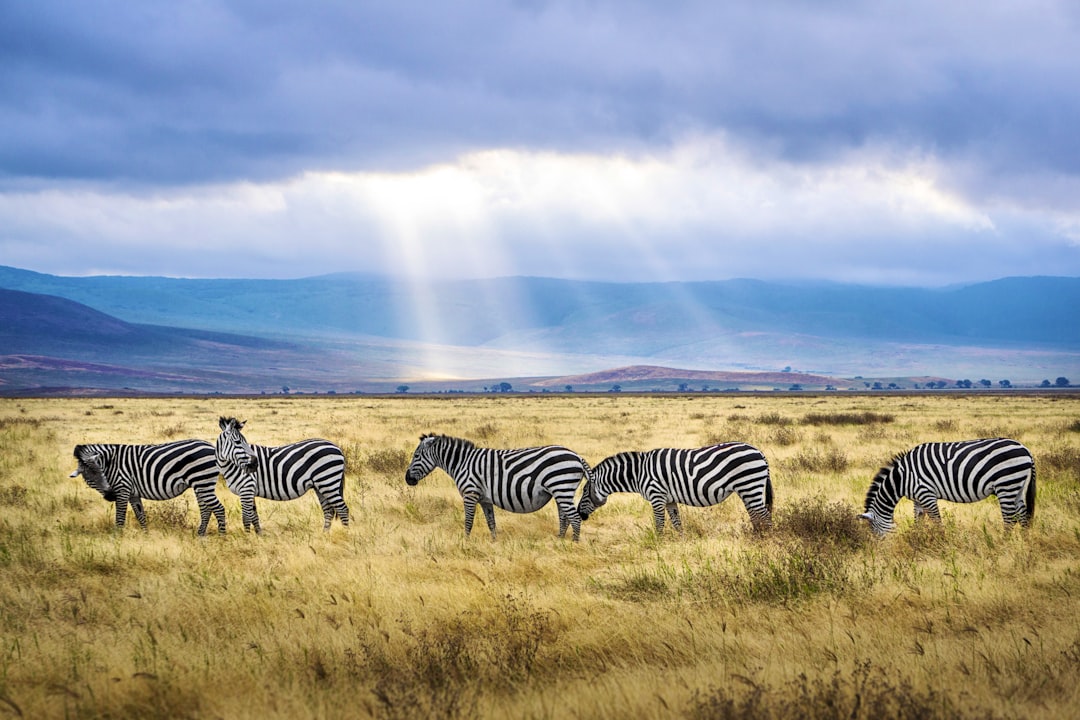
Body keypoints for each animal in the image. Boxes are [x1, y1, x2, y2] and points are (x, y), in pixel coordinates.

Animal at [69, 440, 225, 535]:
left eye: (102, 473)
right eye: (89, 478)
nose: (110, 496)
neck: (111, 463)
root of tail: (211, 446)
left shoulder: (122, 488)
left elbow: (120, 518)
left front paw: (117, 539)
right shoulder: (133, 493)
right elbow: (140, 515)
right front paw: (146, 535)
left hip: (203, 482)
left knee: (219, 508)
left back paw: (222, 537)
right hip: (200, 484)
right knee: (206, 510)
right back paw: (200, 535)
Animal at [217, 416, 352, 535]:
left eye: (244, 442)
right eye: (238, 442)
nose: (255, 464)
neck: (232, 465)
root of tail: (337, 447)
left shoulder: (246, 488)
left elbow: (246, 517)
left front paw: (247, 538)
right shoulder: (250, 491)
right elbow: (254, 516)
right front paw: (259, 535)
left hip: (328, 482)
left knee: (342, 509)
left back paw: (345, 534)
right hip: (321, 486)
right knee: (329, 510)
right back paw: (324, 534)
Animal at [406, 433, 591, 539]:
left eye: (416, 456)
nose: (407, 479)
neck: (462, 463)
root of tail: (577, 456)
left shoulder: (470, 494)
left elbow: (468, 521)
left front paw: (465, 542)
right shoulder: (485, 499)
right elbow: (491, 522)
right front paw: (494, 543)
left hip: (561, 487)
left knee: (574, 518)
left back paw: (573, 544)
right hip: (561, 491)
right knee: (564, 517)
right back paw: (559, 540)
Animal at [578, 440, 773, 535]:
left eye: (585, 492)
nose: (580, 514)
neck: (638, 473)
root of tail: (759, 452)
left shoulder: (656, 495)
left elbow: (659, 523)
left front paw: (657, 543)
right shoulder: (669, 500)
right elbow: (677, 522)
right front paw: (681, 542)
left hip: (750, 485)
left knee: (764, 515)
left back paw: (766, 540)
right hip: (747, 489)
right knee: (755, 515)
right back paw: (756, 537)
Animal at [859, 436, 1036, 537]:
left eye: (875, 532)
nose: (881, 551)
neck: (902, 478)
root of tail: (1025, 449)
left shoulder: (926, 494)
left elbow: (937, 521)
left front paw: (942, 543)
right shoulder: (917, 499)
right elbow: (918, 520)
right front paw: (916, 539)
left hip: (1006, 484)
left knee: (1010, 519)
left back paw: (1002, 545)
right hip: (1017, 486)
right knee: (1022, 515)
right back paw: (1025, 544)